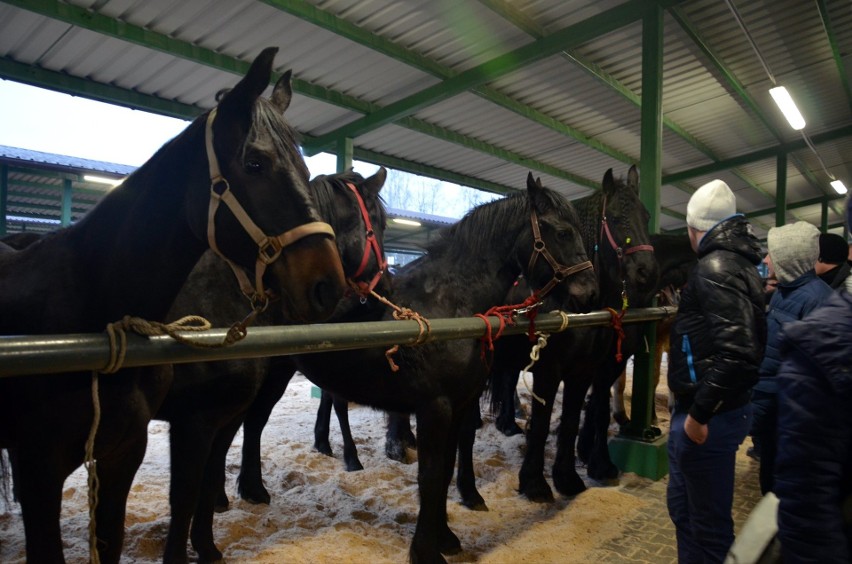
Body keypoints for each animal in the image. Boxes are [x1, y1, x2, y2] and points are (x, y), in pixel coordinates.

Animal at [0, 47, 346, 564]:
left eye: (306, 174)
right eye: (254, 163)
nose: (329, 286)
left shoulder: (129, 450)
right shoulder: (40, 472)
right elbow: (185, 495)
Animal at [480, 164, 660, 502]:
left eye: (645, 216)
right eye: (616, 217)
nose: (647, 272)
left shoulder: (592, 369)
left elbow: (580, 417)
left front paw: (578, 473)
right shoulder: (549, 370)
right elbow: (543, 423)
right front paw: (535, 483)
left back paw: (508, 424)